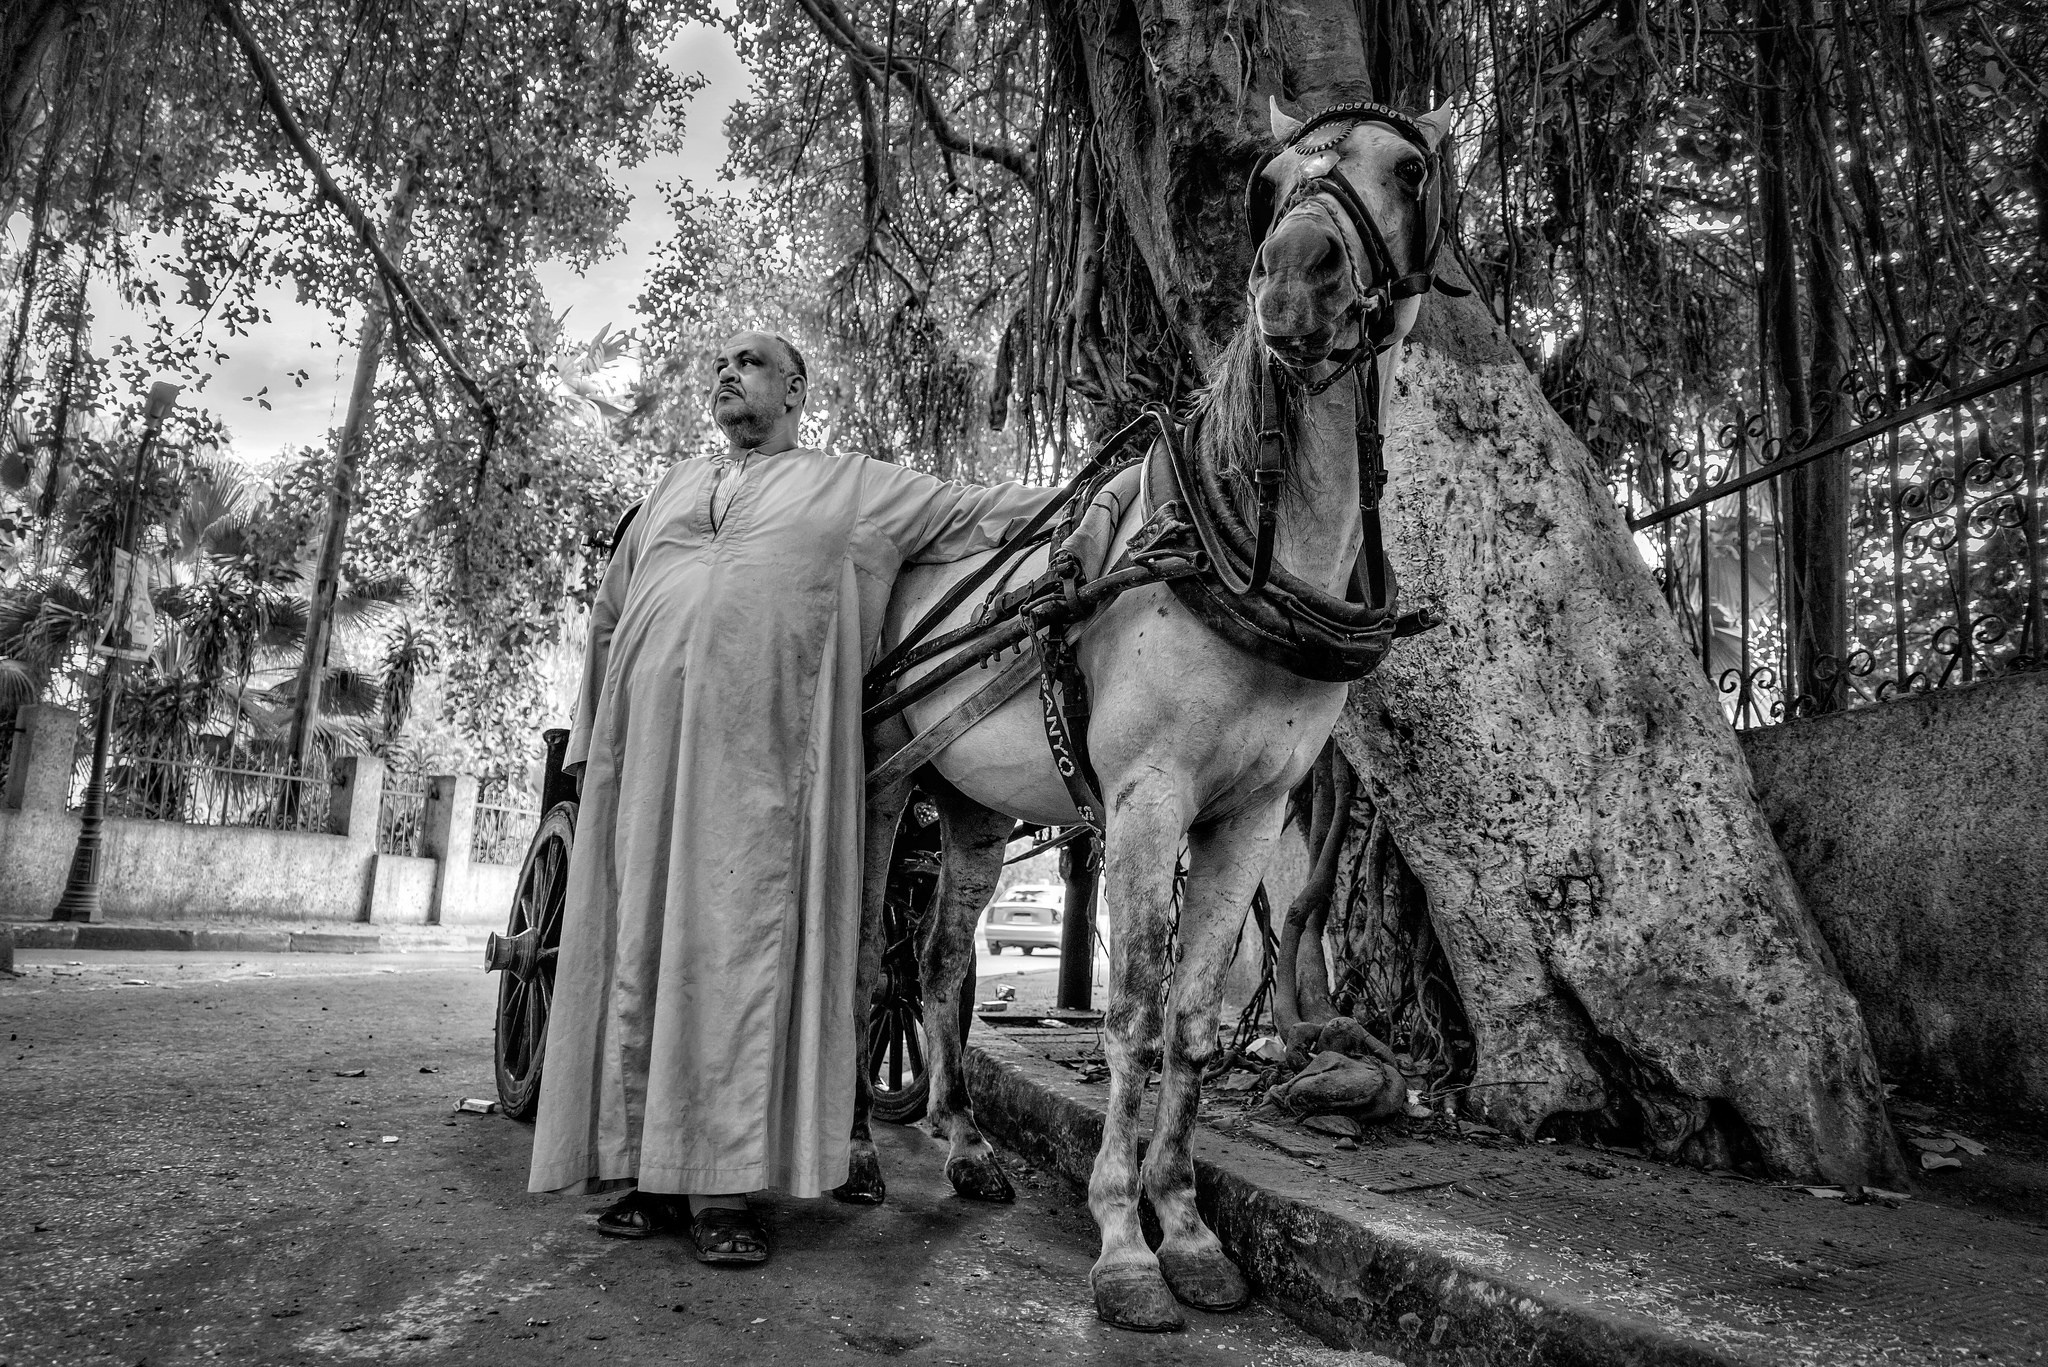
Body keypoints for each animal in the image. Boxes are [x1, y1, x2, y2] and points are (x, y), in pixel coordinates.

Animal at [847, 90, 1458, 1328]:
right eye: (1267, 187)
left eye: (1409, 169)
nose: (1293, 275)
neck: (1239, 550)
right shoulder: (1142, 797)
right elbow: (1128, 1013)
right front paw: (1122, 1241)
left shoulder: (1253, 813)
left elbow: (1191, 1022)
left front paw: (1186, 1228)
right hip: (882, 772)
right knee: (859, 954)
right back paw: (853, 1154)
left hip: (970, 805)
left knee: (937, 965)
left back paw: (964, 1142)